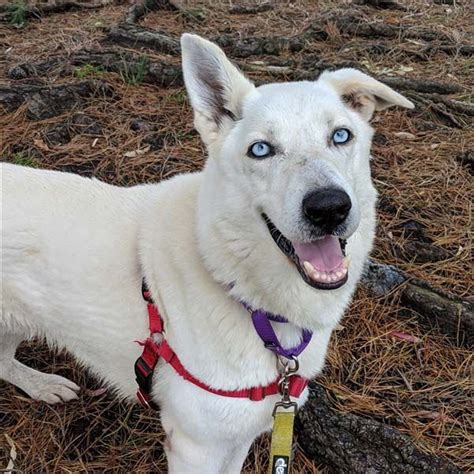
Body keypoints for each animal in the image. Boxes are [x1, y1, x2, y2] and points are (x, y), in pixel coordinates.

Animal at [0, 34, 412, 474]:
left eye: (340, 136)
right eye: (261, 149)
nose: (329, 208)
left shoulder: (243, 431)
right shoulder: (195, 446)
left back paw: (43, 386)